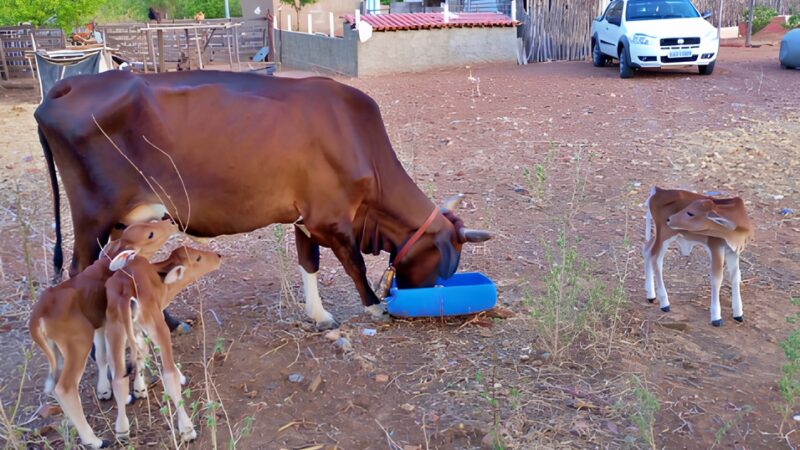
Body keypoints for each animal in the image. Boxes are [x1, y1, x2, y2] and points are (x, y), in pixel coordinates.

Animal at [28, 220, 179, 448]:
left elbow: (102, 356)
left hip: (55, 351)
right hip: (78, 344)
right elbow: (132, 352)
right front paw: (136, 391)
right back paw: (94, 440)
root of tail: (38, 317)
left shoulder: (101, 324)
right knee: (65, 387)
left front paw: (106, 390)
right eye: (150, 234)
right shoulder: (118, 323)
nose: (170, 222)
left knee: (54, 384)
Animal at [36, 71, 488, 330]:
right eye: (444, 263)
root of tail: (68, 86)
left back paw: (171, 322)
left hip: (127, 222)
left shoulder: (307, 217)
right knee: (82, 271)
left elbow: (309, 262)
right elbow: (355, 264)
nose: (423, 300)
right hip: (92, 217)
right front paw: (375, 307)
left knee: (131, 270)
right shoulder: (330, 217)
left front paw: (318, 315)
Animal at [104, 244, 222, 442]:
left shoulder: (138, 331)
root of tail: (126, 291)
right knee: (169, 376)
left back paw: (122, 431)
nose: (218, 256)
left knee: (119, 380)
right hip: (157, 326)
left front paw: (140, 388)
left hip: (115, 332)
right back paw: (187, 430)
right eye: (197, 258)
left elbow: (141, 353)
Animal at [644, 186, 756, 326]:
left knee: (647, 249)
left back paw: (650, 295)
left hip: (660, 235)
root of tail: (658, 190)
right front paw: (716, 317)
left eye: (690, 213)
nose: (669, 219)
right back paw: (664, 303)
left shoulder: (733, 252)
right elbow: (717, 278)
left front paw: (738, 314)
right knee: (656, 258)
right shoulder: (716, 247)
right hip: (665, 234)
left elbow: (735, 277)